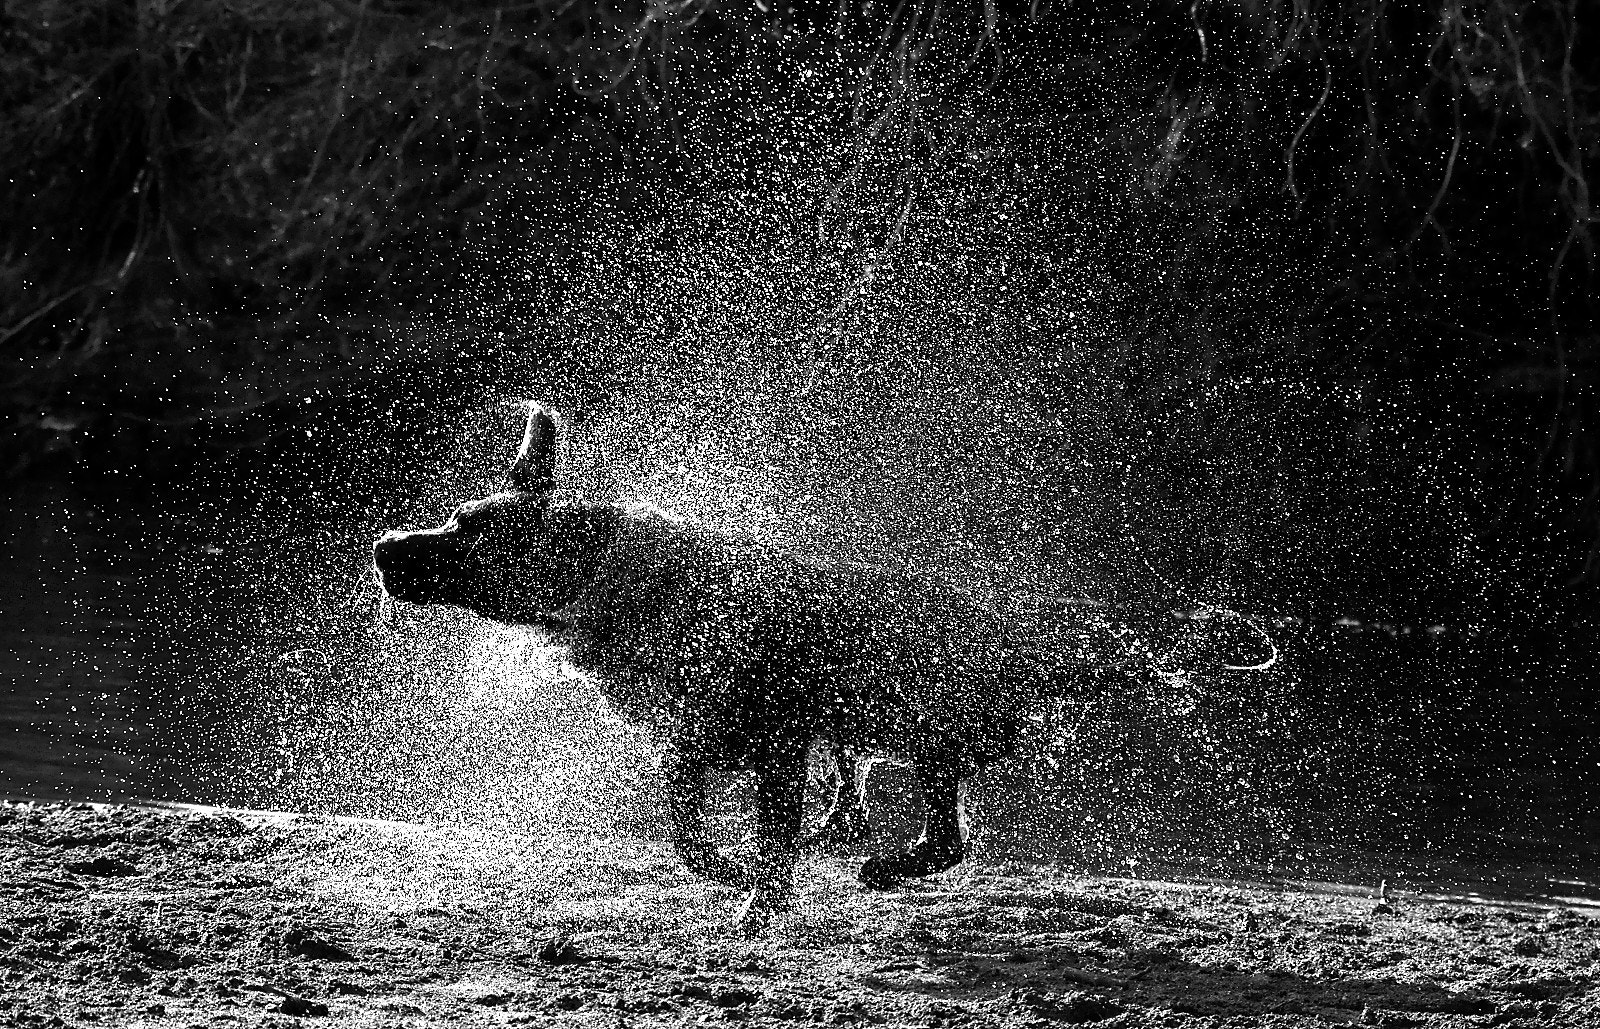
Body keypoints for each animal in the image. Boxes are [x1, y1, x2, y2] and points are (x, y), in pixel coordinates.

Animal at [368, 400, 1107, 915]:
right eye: (453, 516)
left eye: (471, 531)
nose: (383, 545)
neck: (618, 583)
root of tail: (1029, 645)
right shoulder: (706, 733)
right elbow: (688, 823)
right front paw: (735, 870)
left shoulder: (777, 734)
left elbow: (756, 840)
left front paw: (756, 897)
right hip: (894, 734)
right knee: (895, 811)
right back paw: (854, 842)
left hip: (922, 724)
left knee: (943, 832)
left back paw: (875, 861)